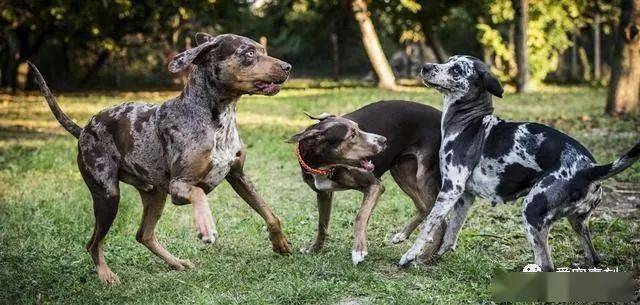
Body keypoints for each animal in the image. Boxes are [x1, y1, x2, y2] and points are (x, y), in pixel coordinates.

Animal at [28, 32, 292, 282]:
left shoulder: (238, 176)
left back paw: (176, 262)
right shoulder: (179, 186)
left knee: (143, 235)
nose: (288, 66)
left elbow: (270, 214)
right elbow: (199, 194)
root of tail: (83, 130)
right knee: (94, 243)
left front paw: (279, 242)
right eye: (249, 53)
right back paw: (105, 274)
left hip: (155, 194)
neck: (216, 119)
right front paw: (205, 224)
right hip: (108, 197)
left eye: (263, 50)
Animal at [288, 101, 444, 264]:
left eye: (358, 128)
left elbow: (360, 216)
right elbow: (322, 224)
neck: (325, 167)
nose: (384, 141)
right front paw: (314, 249)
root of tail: (442, 115)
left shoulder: (375, 186)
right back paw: (403, 235)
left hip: (422, 177)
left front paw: (358, 250)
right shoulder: (323, 194)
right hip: (402, 174)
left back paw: (425, 257)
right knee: (424, 208)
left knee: (439, 220)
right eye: (352, 135)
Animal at [400, 55, 640, 270]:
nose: (425, 66)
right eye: (448, 60)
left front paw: (410, 255)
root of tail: (590, 169)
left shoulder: (450, 190)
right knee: (594, 258)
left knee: (546, 265)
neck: (470, 122)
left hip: (532, 212)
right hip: (578, 222)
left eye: (457, 69)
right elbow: (449, 237)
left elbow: (428, 227)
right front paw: (429, 261)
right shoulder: (464, 198)